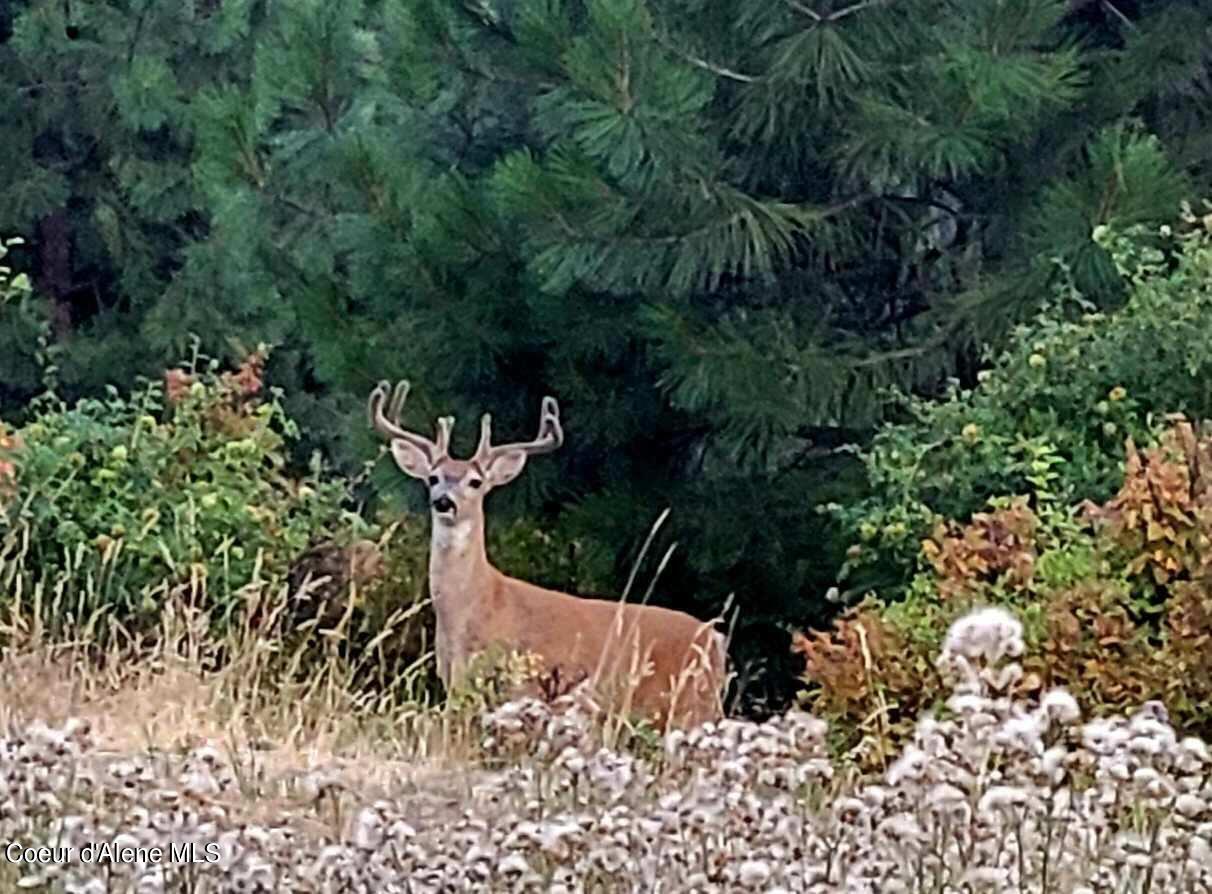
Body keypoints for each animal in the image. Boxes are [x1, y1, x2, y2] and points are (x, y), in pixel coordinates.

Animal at [368, 380, 722, 726]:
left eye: (475, 482)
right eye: (433, 478)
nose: (443, 501)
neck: (478, 605)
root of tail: (716, 641)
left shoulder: (521, 682)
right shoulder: (455, 682)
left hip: (693, 706)